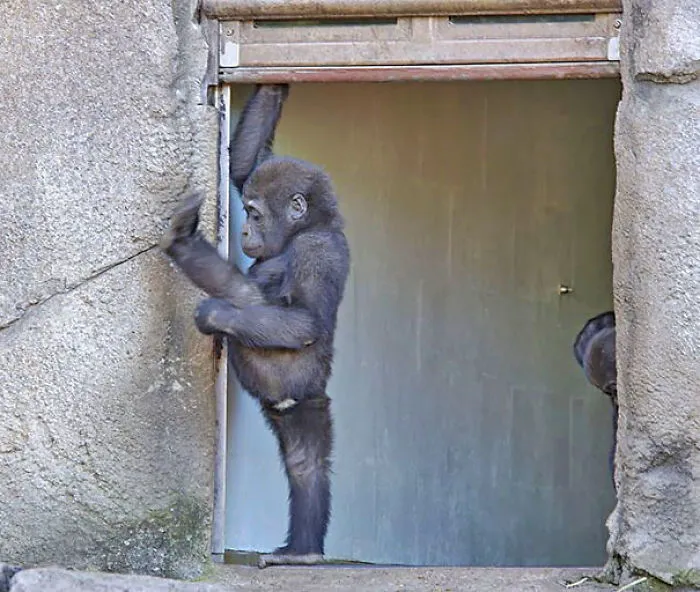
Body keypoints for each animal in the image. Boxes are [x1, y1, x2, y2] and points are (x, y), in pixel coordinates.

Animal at [161, 84, 350, 567]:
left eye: (256, 214)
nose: (244, 232)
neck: (313, 225)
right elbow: (245, 163)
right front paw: (276, 85)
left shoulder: (318, 252)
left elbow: (301, 319)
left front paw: (217, 315)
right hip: (294, 408)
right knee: (304, 463)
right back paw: (303, 549)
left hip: (307, 393)